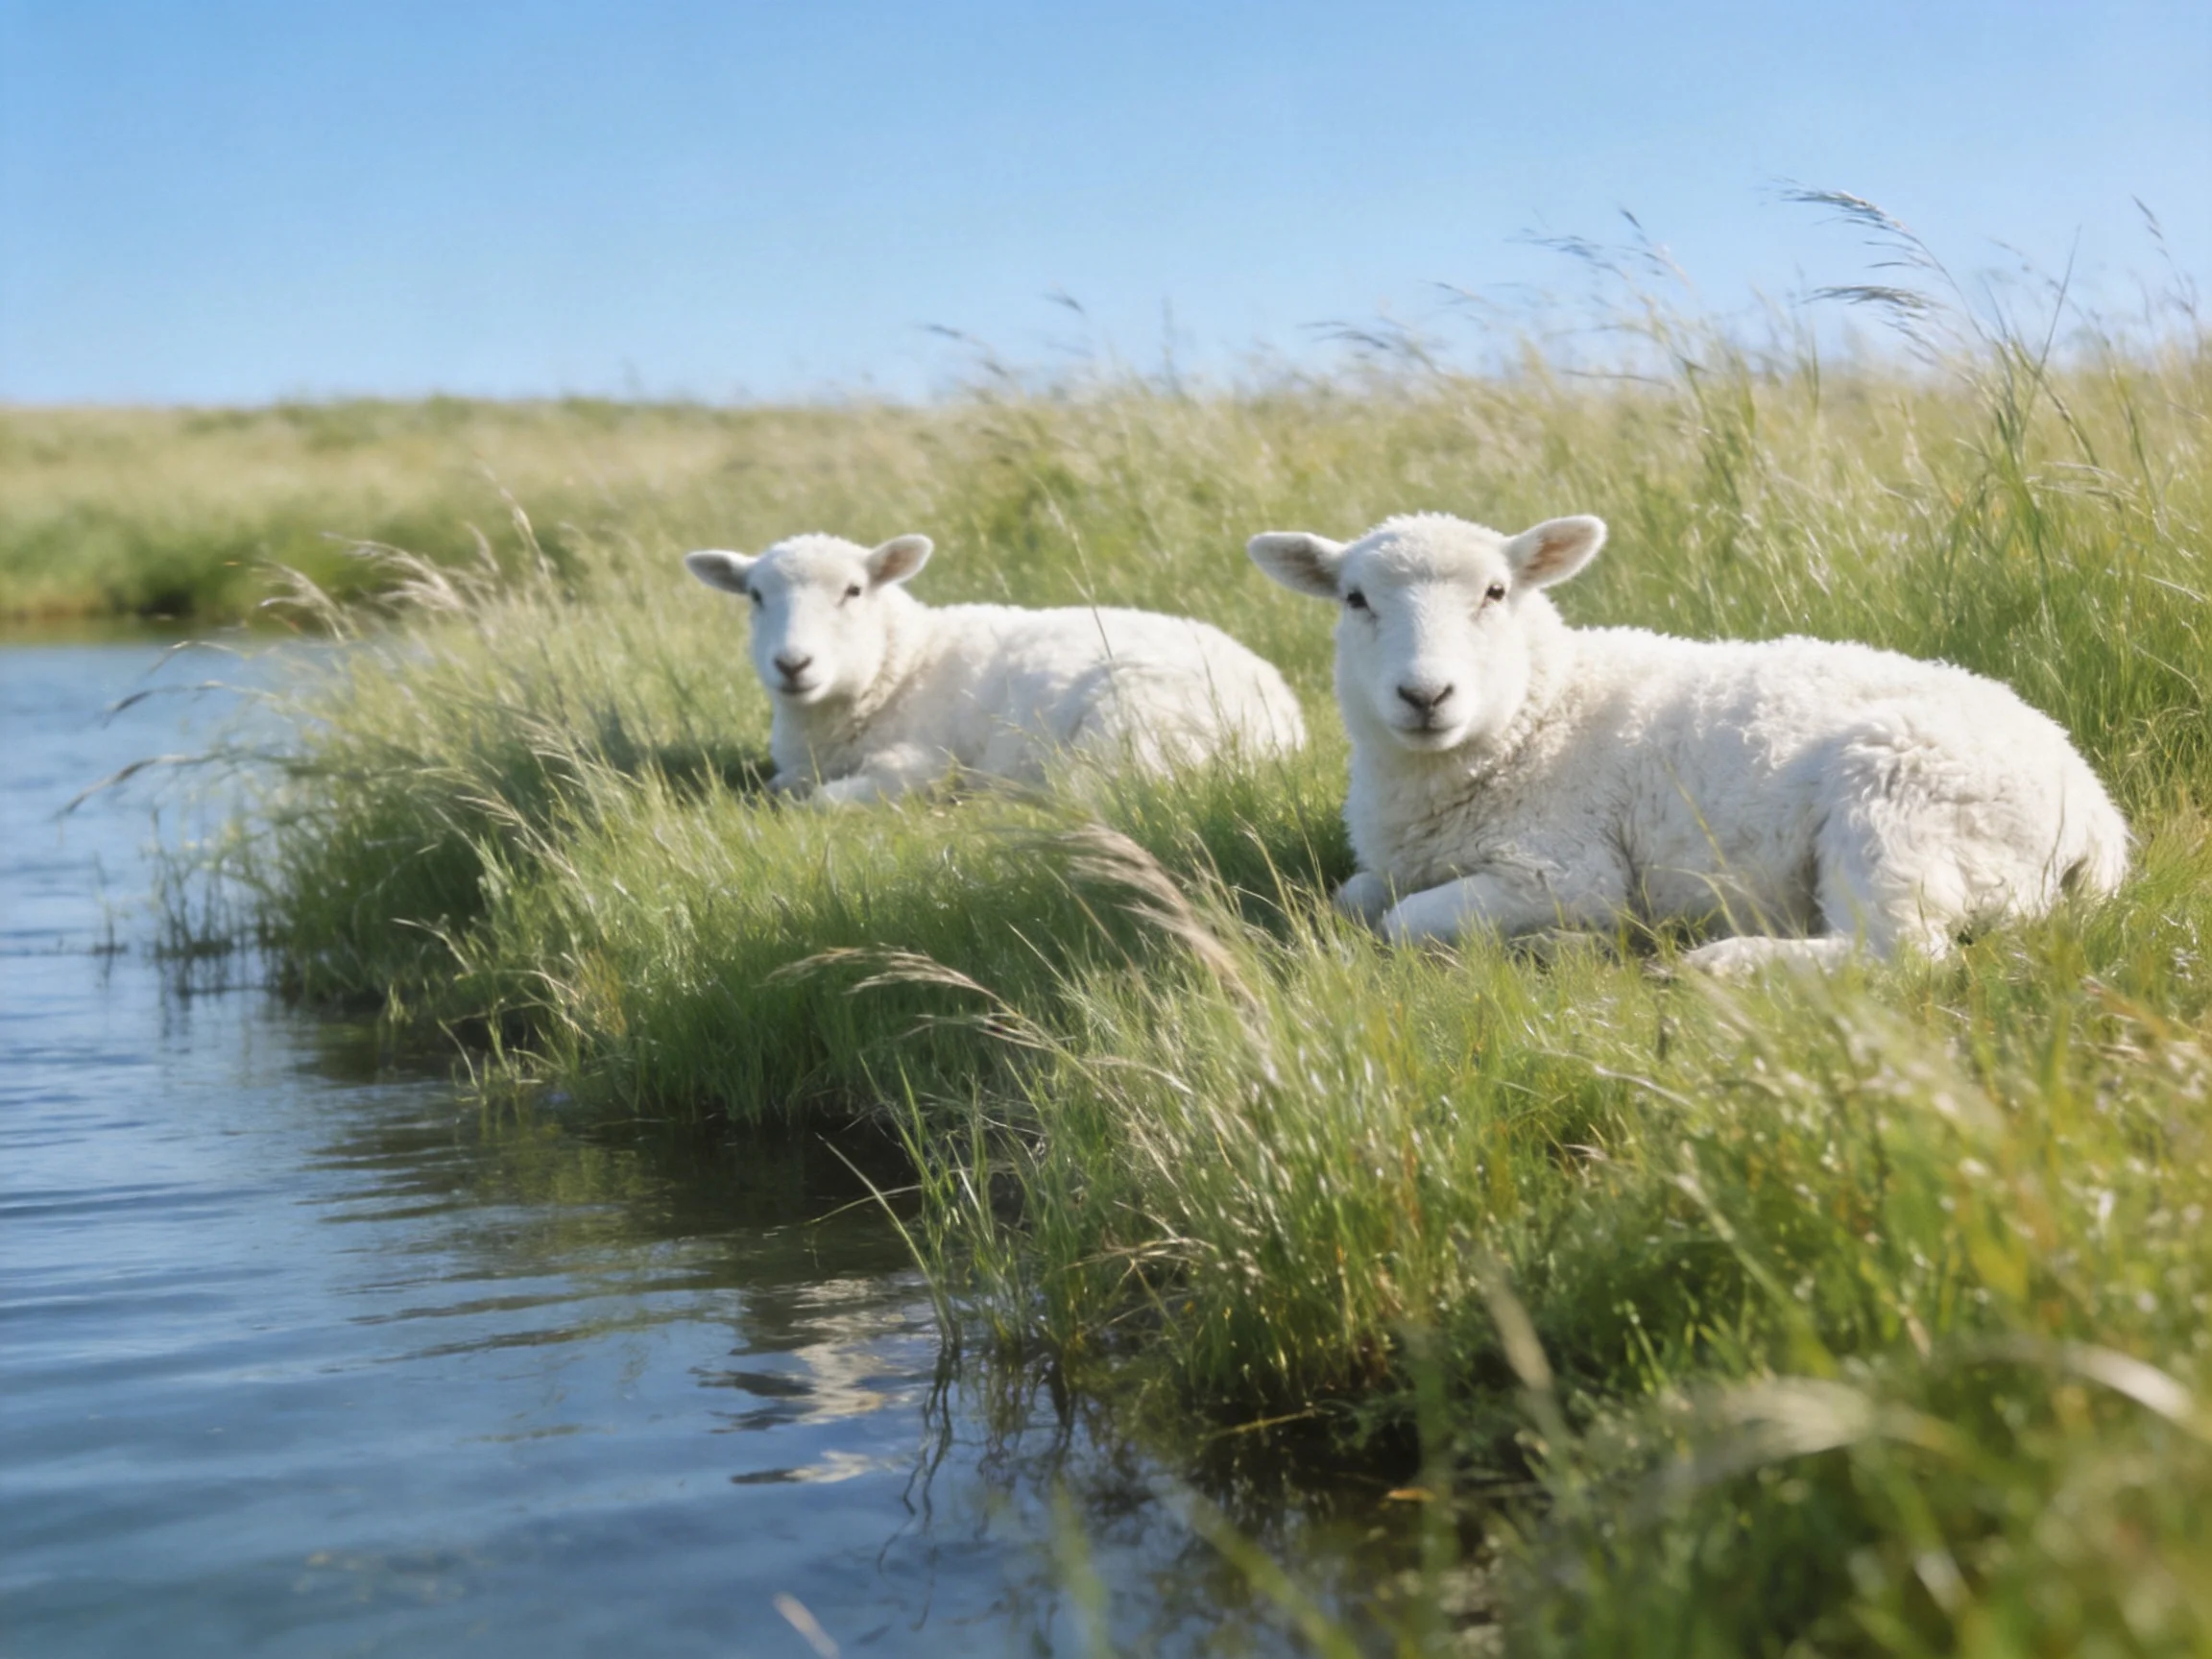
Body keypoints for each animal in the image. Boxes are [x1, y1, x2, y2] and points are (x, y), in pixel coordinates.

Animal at [685, 532, 1306, 804]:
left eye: (854, 591)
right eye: (755, 596)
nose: (792, 664)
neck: (901, 665)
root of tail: (1285, 720)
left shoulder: (920, 760)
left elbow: (822, 802)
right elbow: (774, 786)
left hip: (1129, 730)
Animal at [1248, 511, 2128, 970]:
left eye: (1496, 592)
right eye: (1355, 599)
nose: (1425, 695)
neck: (1541, 711)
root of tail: (2098, 817)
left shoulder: (1566, 870)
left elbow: (1400, 923)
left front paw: (1568, 944)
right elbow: (1353, 897)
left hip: (1899, 805)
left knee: (1899, 955)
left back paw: (1723, 963)